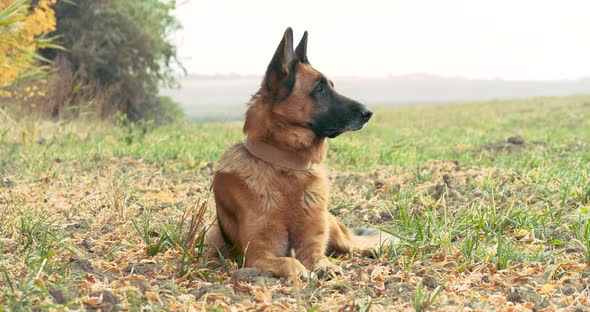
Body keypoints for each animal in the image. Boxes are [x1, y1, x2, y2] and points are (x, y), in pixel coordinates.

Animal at [208, 28, 398, 278]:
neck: (288, 167)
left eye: (331, 86)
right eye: (320, 88)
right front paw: (300, 272)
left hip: (337, 231)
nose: (369, 113)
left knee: (356, 245)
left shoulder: (311, 249)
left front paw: (329, 270)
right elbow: (289, 261)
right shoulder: (258, 256)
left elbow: (321, 259)